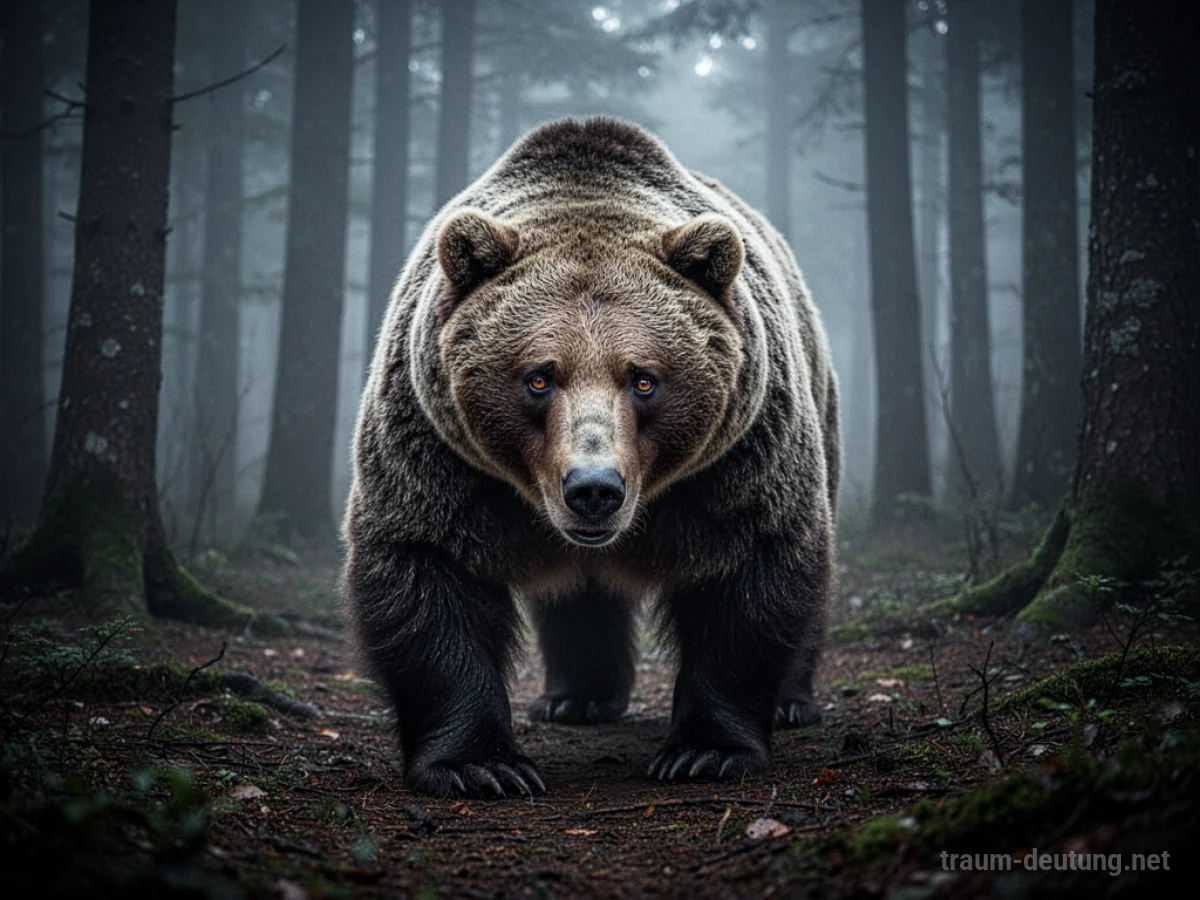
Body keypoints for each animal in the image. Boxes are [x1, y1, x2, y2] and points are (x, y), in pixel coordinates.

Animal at [344, 118, 839, 799]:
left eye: (644, 379)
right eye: (539, 377)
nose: (594, 487)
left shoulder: (737, 461)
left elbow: (755, 572)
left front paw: (705, 751)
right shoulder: (438, 457)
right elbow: (426, 577)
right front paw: (482, 765)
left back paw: (792, 701)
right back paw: (575, 698)